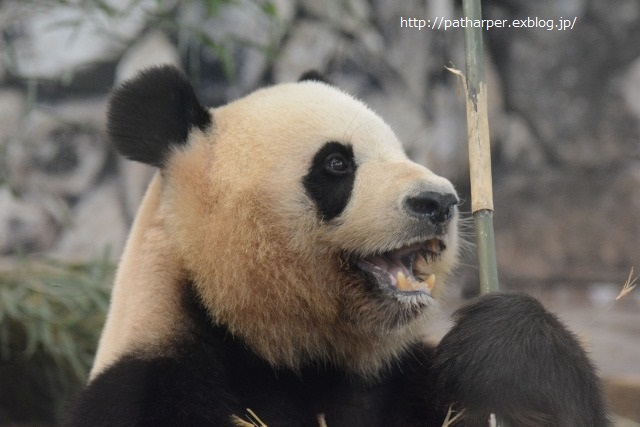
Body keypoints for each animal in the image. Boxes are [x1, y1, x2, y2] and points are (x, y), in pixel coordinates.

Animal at [66, 67, 608, 427]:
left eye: (400, 150)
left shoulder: (400, 382)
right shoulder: (155, 386)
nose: (439, 201)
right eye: (336, 164)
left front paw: (507, 349)